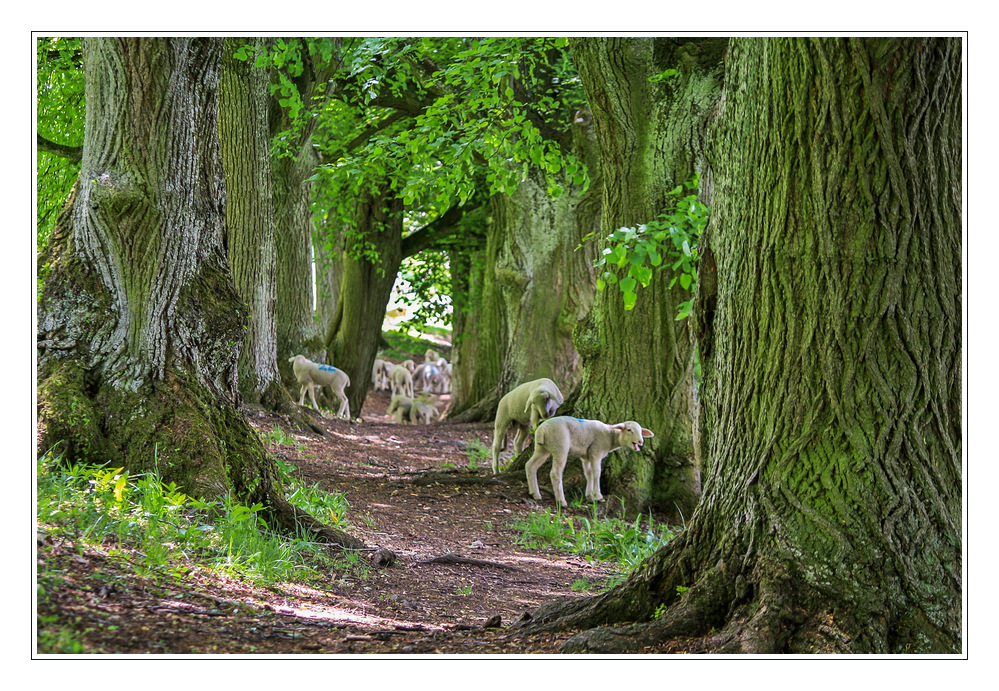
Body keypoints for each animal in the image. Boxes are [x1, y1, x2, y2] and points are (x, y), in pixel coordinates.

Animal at [524, 416, 656, 508]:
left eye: (641, 431)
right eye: (629, 430)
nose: (640, 441)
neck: (610, 436)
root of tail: (542, 429)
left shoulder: (586, 456)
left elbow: (589, 474)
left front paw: (590, 497)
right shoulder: (596, 452)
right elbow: (597, 473)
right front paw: (598, 496)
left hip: (542, 448)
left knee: (530, 466)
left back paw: (535, 494)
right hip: (559, 445)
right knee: (555, 473)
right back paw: (561, 501)